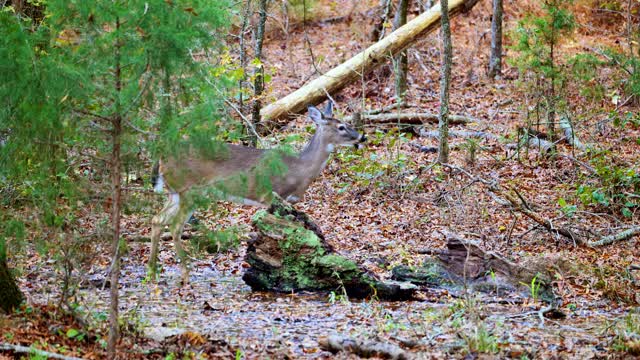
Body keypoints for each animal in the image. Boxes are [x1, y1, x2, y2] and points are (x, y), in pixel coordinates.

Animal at [150, 102, 368, 284]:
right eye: (341, 127)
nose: (362, 137)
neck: (299, 169)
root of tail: (163, 158)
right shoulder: (271, 196)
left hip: (176, 192)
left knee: (158, 219)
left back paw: (153, 271)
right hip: (190, 189)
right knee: (175, 226)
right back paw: (185, 275)